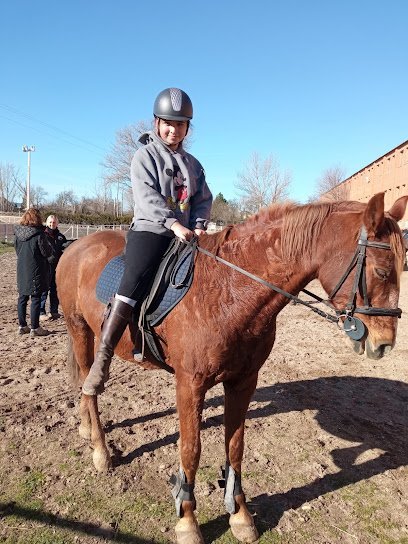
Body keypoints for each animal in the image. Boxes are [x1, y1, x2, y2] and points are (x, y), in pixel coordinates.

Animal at [57, 193, 408, 540]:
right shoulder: (190, 384)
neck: (230, 289)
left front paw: (239, 514)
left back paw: (86, 429)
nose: (384, 344)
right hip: (80, 328)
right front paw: (187, 520)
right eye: (381, 271)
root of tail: (77, 245)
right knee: (90, 385)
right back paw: (100, 450)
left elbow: (235, 446)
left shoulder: (243, 381)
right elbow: (191, 450)